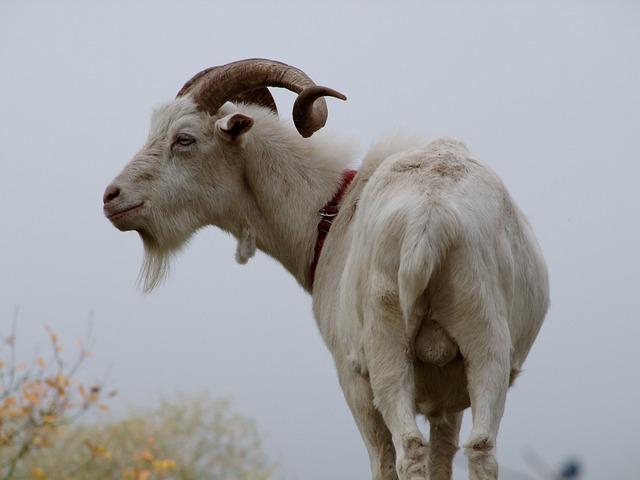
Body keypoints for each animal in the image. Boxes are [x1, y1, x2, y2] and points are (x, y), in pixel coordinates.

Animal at [104, 59, 552, 480]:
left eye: (185, 138)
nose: (112, 197)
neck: (330, 212)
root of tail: (430, 217)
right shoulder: (447, 396)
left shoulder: (351, 374)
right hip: (485, 343)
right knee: (481, 449)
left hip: (385, 353)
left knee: (405, 451)